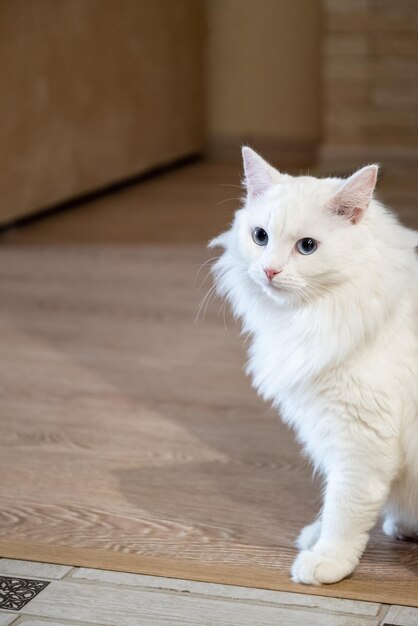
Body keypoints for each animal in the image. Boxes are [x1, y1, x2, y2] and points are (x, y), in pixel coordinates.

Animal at [211, 147, 416, 584]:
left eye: (307, 246)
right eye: (260, 237)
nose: (269, 270)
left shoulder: (360, 437)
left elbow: (345, 508)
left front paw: (327, 560)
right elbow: (333, 502)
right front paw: (316, 537)